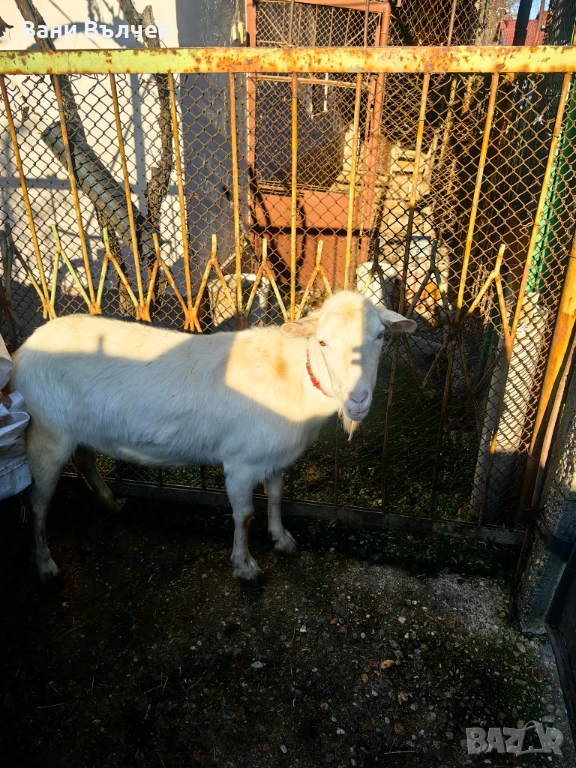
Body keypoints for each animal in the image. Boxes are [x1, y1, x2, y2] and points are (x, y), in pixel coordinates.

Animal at [12, 291, 416, 581]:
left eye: (381, 336)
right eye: (322, 342)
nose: (359, 399)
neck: (293, 375)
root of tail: (21, 351)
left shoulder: (273, 457)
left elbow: (276, 498)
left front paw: (282, 539)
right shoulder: (240, 462)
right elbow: (245, 514)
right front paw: (245, 565)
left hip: (79, 430)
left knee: (84, 460)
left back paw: (110, 502)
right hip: (46, 434)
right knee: (39, 501)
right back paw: (44, 563)